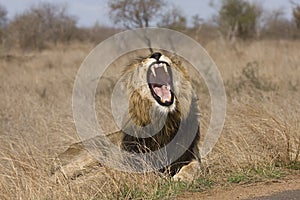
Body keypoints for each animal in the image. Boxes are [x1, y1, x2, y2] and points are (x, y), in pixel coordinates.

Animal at [52, 51, 200, 181]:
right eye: (142, 61)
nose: (156, 54)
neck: (164, 121)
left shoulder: (190, 154)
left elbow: (195, 166)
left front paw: (181, 177)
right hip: (96, 152)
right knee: (57, 176)